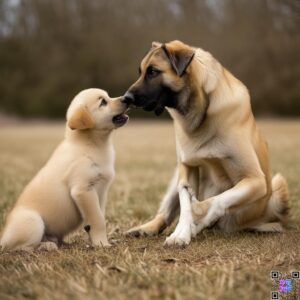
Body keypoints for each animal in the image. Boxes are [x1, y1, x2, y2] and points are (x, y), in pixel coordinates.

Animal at [0, 88, 129, 250]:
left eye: (108, 96)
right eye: (103, 102)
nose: (126, 98)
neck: (91, 145)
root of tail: (2, 238)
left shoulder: (102, 193)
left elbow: (97, 218)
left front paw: (96, 242)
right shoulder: (83, 189)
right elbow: (98, 220)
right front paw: (102, 244)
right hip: (33, 221)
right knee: (22, 247)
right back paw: (46, 246)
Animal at [123, 39, 290, 246]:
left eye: (153, 71)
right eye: (141, 71)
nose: (126, 98)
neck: (201, 112)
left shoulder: (256, 180)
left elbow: (217, 200)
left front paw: (197, 215)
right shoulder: (186, 167)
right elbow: (185, 201)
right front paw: (181, 233)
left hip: (277, 186)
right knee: (166, 213)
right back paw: (147, 228)